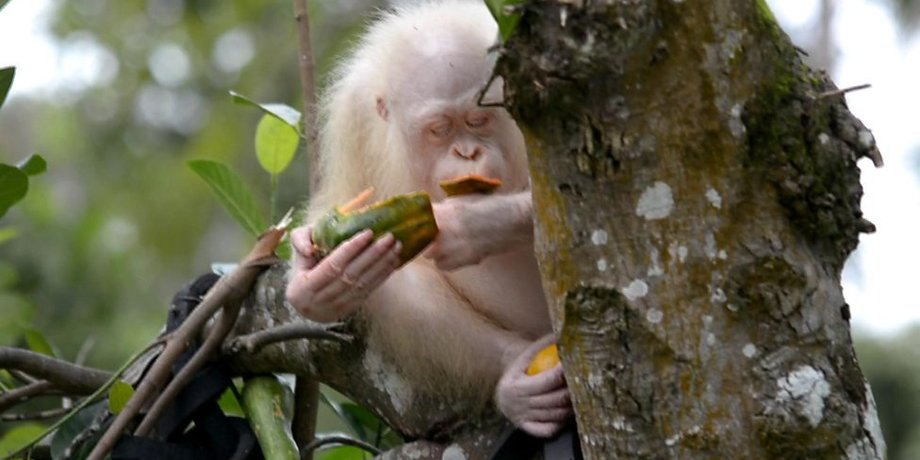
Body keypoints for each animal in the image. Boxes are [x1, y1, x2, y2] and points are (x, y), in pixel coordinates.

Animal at [285, 0, 571, 438]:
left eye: (478, 120)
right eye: (439, 129)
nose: (467, 152)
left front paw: (477, 225)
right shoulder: (354, 116)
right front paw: (311, 277)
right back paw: (514, 377)